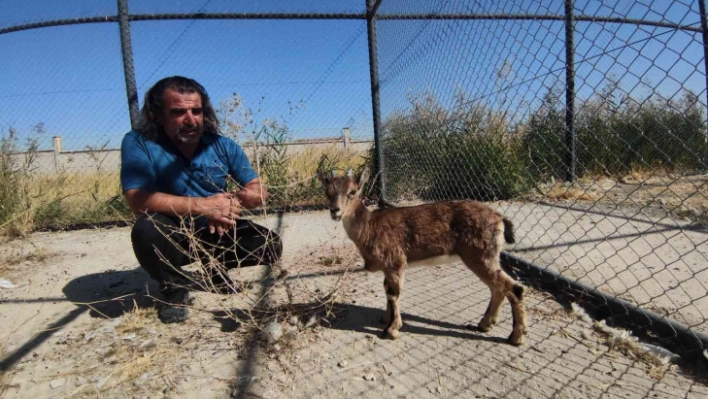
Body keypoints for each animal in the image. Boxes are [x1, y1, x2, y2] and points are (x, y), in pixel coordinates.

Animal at [318, 167, 528, 346]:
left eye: (352, 192)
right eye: (327, 192)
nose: (335, 211)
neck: (369, 227)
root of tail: (500, 218)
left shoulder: (395, 262)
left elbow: (394, 294)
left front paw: (392, 330)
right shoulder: (388, 268)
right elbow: (387, 291)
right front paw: (385, 319)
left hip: (479, 255)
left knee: (513, 288)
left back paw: (516, 337)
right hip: (487, 257)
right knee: (498, 288)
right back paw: (484, 324)